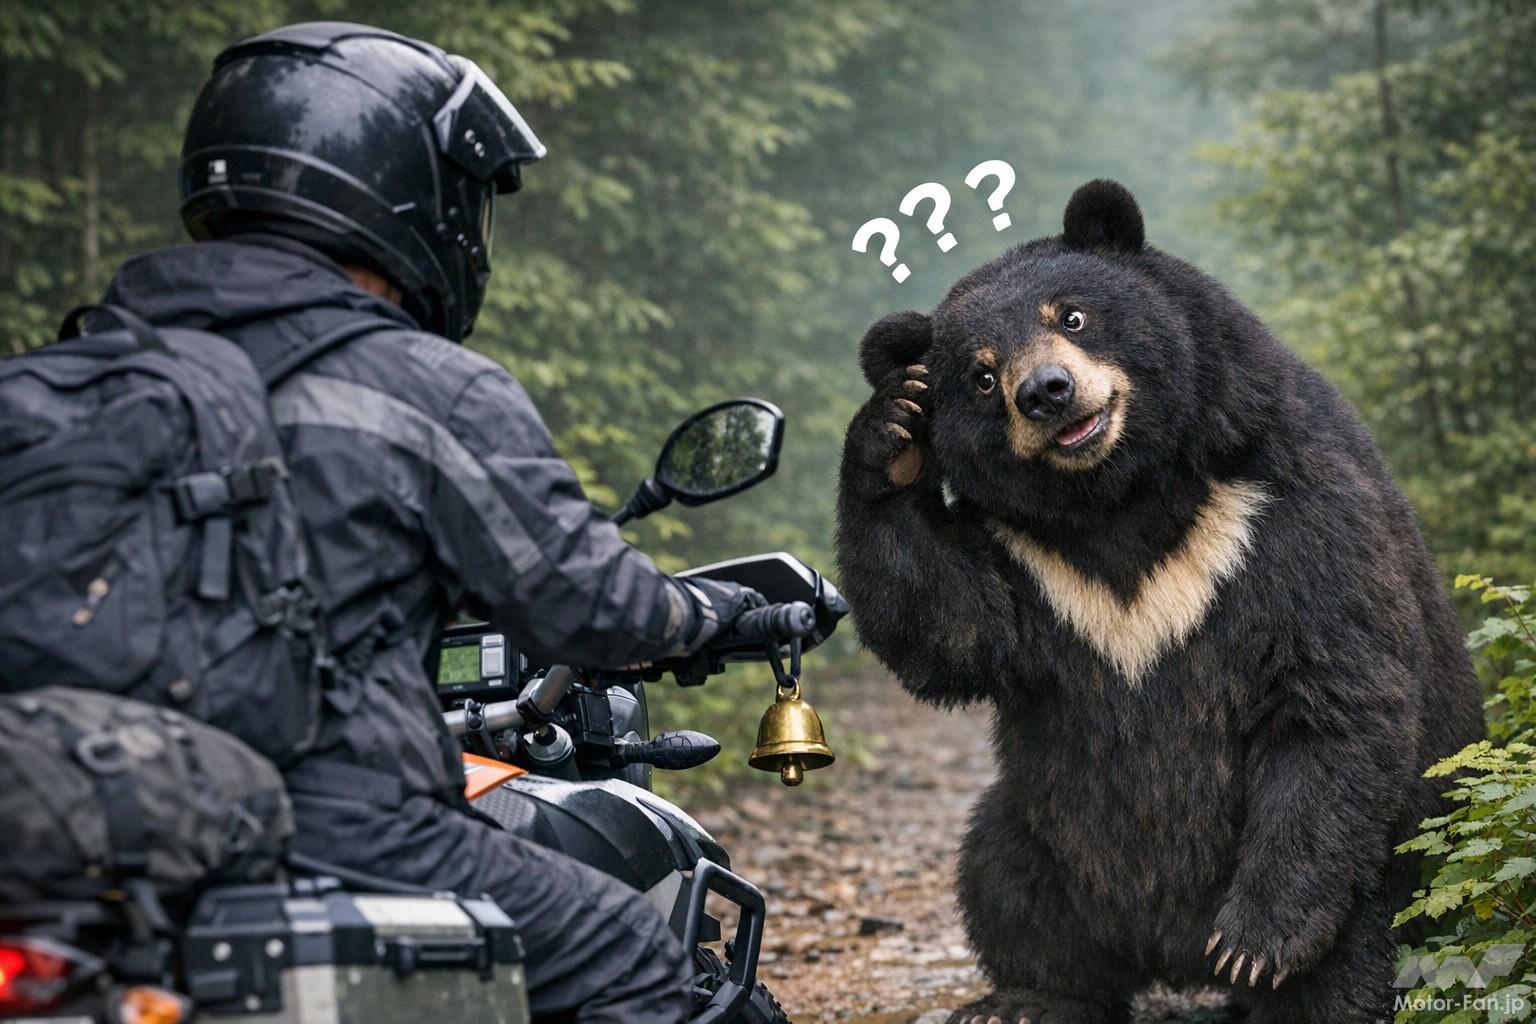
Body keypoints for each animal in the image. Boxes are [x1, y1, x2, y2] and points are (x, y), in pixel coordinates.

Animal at [834, 180, 1485, 1024]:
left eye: (1072, 316)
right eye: (979, 374)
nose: (1046, 393)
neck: (1117, 501)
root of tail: (1167, 953)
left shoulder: (1280, 499)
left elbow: (1334, 688)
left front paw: (1256, 943)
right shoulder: (1029, 559)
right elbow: (952, 624)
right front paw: (891, 429)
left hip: (1393, 866)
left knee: (1350, 947)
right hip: (1042, 826)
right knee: (1004, 881)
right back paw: (1027, 997)